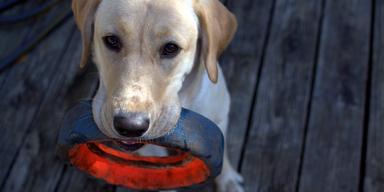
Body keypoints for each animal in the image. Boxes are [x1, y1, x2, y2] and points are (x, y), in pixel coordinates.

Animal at [71, 0, 243, 191]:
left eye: (171, 48)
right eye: (112, 40)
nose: (130, 126)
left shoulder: (220, 119)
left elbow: (224, 154)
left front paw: (228, 182)